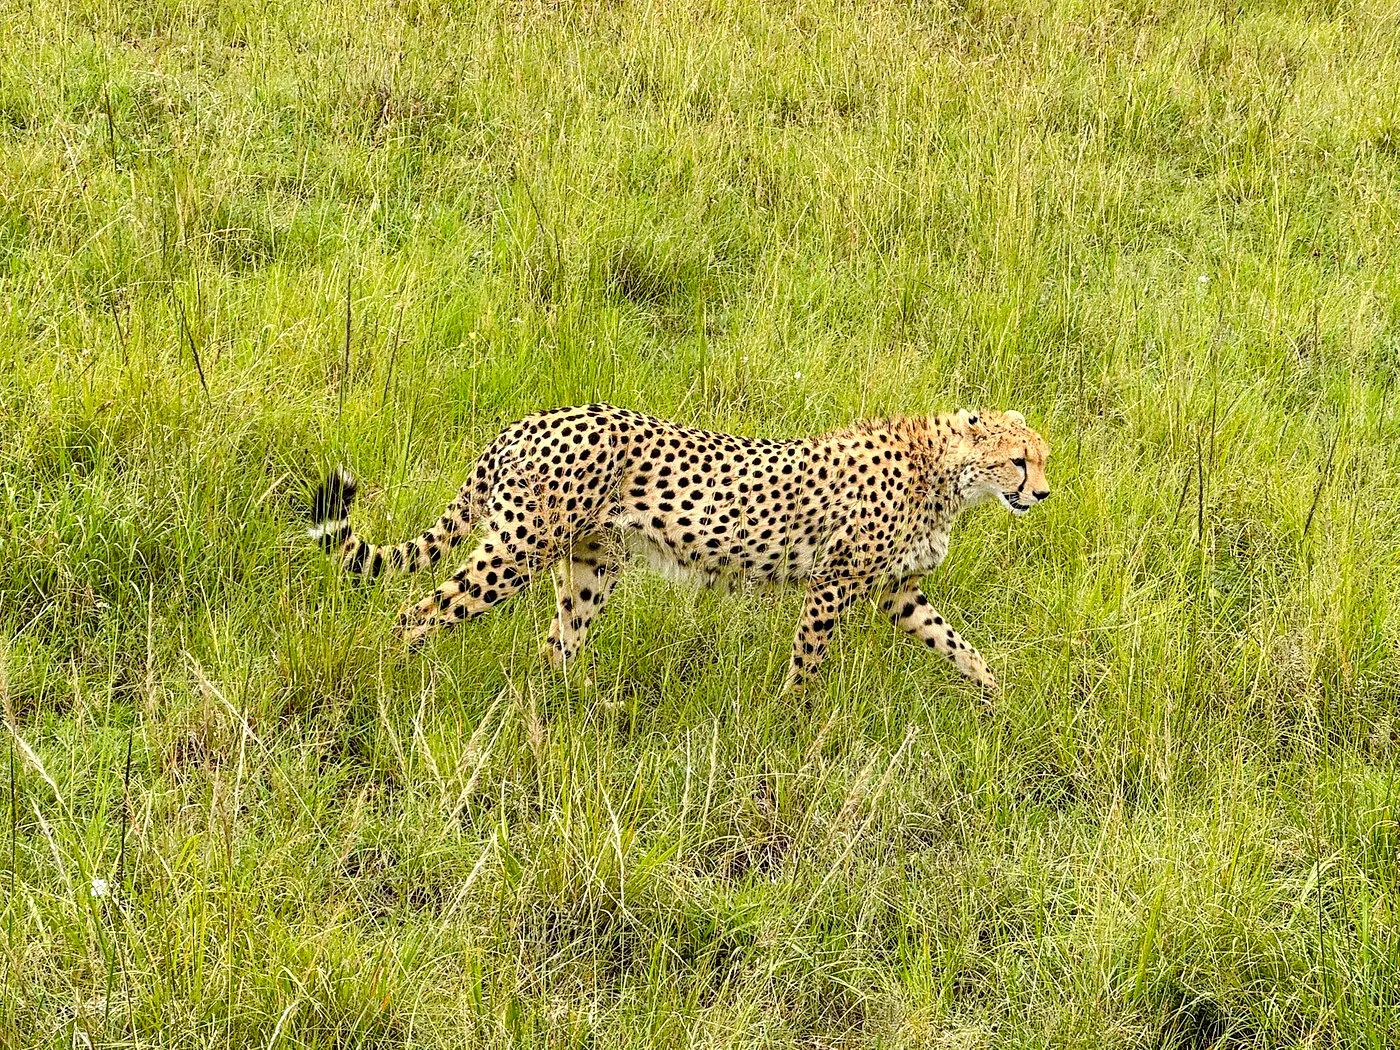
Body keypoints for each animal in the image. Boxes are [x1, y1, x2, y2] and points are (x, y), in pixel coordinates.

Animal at [308, 403, 1050, 693]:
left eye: (1042, 460)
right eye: (1019, 461)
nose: (1042, 494)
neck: (947, 472)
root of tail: (527, 421)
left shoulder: (899, 591)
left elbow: (957, 644)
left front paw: (996, 698)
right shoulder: (834, 584)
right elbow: (808, 665)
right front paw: (794, 722)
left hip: (590, 565)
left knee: (555, 647)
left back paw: (579, 710)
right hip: (519, 550)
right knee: (419, 612)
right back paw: (389, 683)